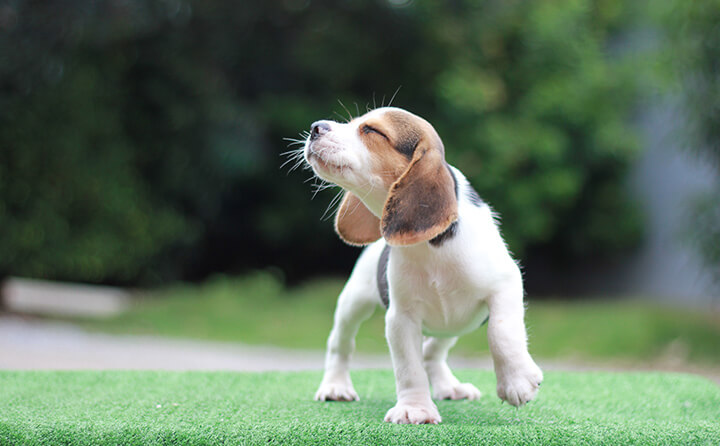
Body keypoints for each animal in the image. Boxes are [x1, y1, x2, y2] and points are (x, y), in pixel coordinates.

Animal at [302, 107, 542, 424]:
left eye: (372, 130)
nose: (315, 127)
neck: (430, 248)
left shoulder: (506, 285)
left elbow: (502, 333)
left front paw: (516, 382)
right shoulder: (401, 318)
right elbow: (409, 368)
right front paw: (415, 408)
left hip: (454, 325)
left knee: (432, 352)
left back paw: (450, 387)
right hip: (353, 302)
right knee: (340, 344)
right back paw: (335, 386)